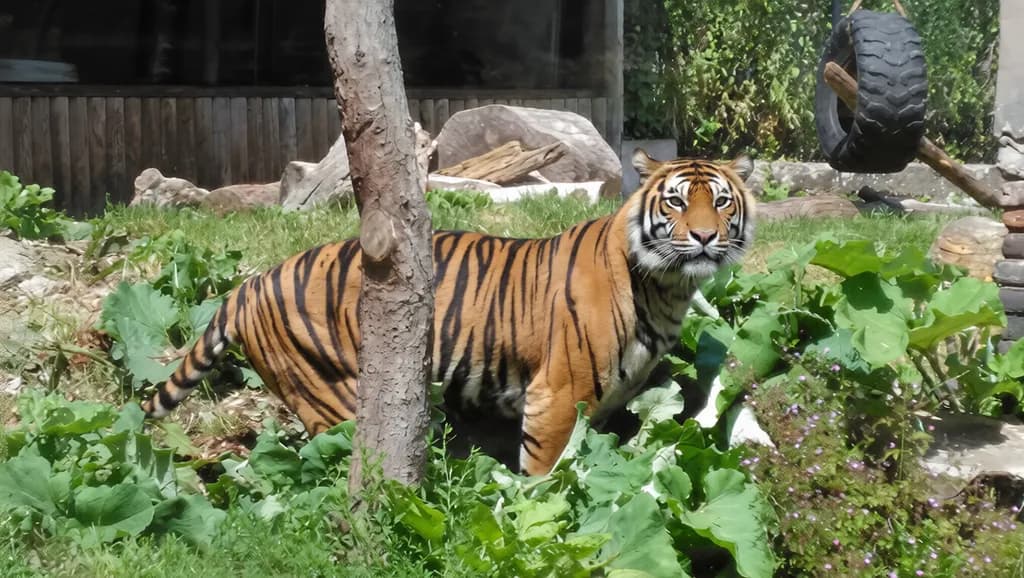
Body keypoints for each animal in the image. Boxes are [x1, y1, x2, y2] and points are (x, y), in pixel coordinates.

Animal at [141, 149, 756, 476]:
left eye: (722, 201)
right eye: (675, 201)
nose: (705, 237)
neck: (668, 287)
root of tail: (250, 283)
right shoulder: (557, 395)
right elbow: (548, 474)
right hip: (335, 397)